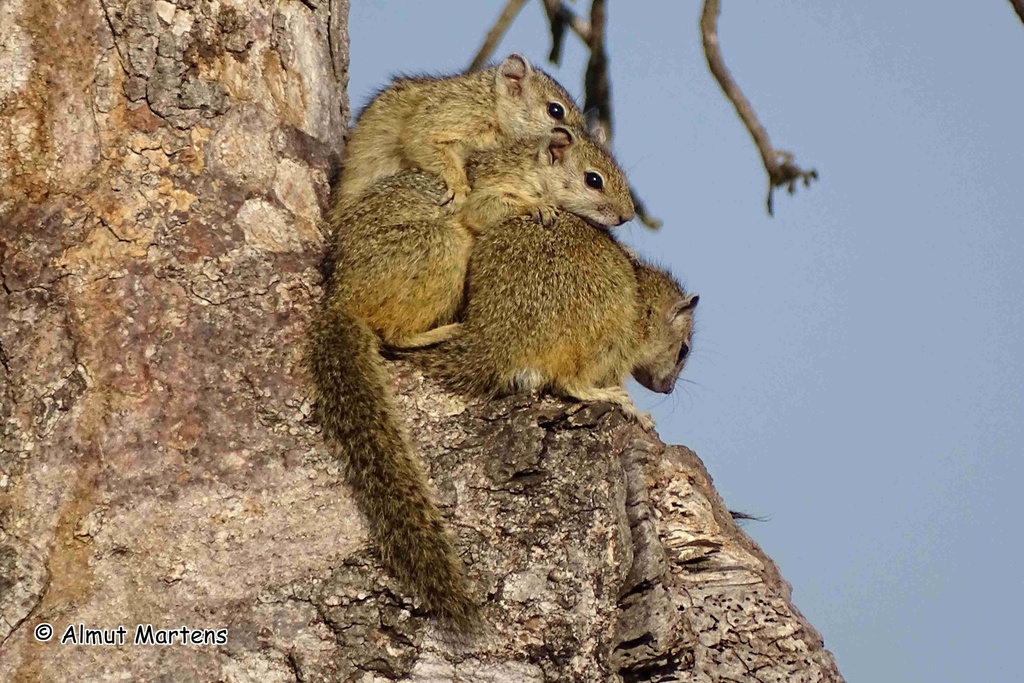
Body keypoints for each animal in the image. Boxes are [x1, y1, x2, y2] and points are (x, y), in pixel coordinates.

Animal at [309, 127, 636, 628]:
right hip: (440, 246)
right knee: (395, 334)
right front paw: (537, 208)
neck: (529, 165)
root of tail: (342, 299)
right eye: (593, 179)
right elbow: (487, 207)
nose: (626, 216)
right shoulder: (486, 190)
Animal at [338, 53, 587, 206]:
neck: (492, 105)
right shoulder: (456, 113)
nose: (576, 138)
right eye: (555, 110)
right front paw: (459, 186)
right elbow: (420, 138)